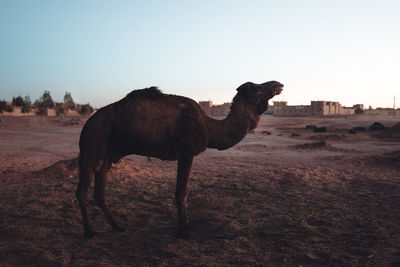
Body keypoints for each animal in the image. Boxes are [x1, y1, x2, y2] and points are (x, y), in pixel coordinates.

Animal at [75, 80, 282, 238]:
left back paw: (117, 226)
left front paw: (187, 224)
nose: (277, 84)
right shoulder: (186, 152)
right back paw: (89, 232)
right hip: (94, 143)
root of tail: (88, 123)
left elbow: (185, 191)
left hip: (107, 154)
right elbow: (181, 192)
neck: (210, 127)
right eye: (256, 87)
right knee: (82, 190)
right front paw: (185, 231)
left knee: (99, 191)